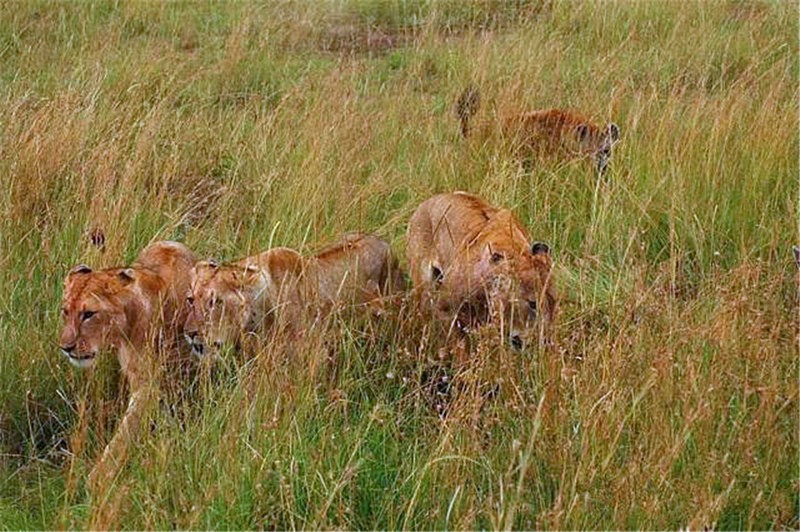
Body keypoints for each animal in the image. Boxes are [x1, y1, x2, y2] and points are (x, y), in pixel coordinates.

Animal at [57, 241, 195, 490]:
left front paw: (98, 478)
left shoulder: (149, 386)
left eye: (89, 314)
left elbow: (126, 431)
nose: (66, 347)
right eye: (66, 311)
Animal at [406, 191, 556, 350]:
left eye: (554, 304)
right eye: (533, 304)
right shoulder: (446, 309)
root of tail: (426, 202)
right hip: (423, 291)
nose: (545, 342)